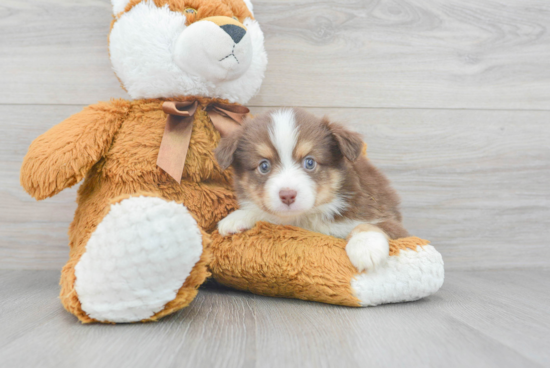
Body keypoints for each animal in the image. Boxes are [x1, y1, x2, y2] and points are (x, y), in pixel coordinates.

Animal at [215, 108, 410, 272]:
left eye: (309, 162)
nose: (287, 195)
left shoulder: (390, 222)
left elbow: (368, 224)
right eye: (264, 166)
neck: (309, 216)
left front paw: (365, 247)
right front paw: (238, 217)